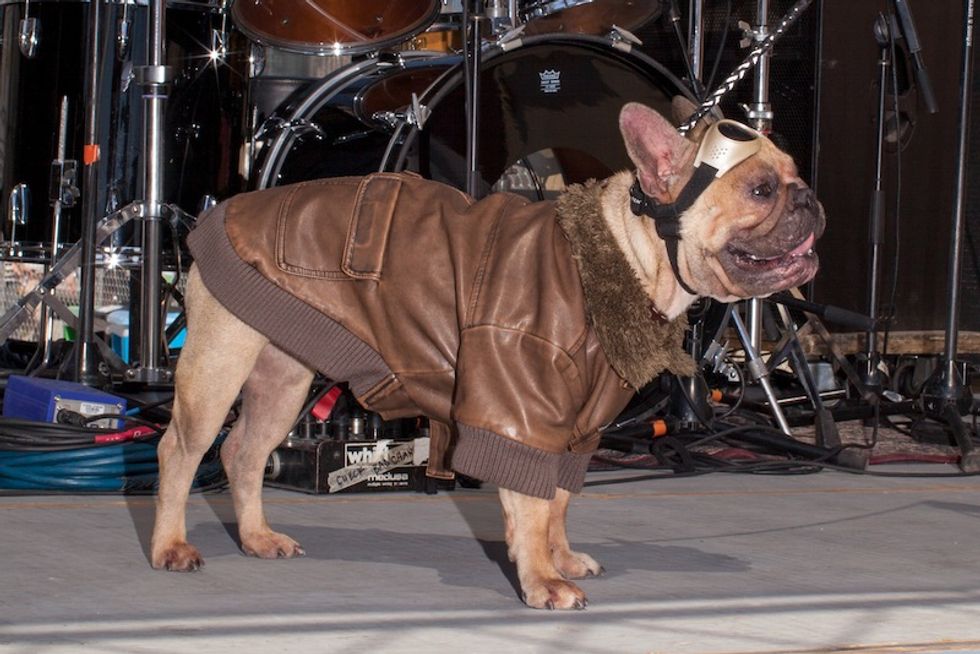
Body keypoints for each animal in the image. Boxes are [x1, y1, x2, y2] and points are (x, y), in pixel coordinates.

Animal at [150, 101, 824, 610]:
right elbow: (530, 504)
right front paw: (542, 580)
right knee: (181, 450)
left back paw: (258, 538)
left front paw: (559, 558)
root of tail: (219, 213)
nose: (810, 200)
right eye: (761, 190)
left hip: (283, 379)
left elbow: (558, 501)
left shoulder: (577, 426)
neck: (628, 253)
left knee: (242, 453)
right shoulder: (520, 407)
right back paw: (169, 547)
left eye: (796, 178)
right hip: (218, 364)